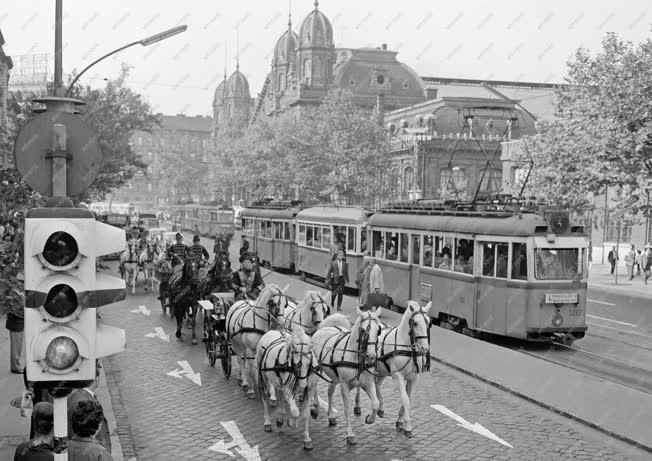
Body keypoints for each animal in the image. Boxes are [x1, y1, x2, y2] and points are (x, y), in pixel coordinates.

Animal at [310, 308, 382, 444]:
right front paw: (350, 434)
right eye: (363, 330)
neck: (356, 358)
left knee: (330, 391)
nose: (371, 356)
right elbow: (347, 409)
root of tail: (324, 328)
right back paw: (315, 407)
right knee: (314, 387)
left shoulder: (367, 384)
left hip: (334, 377)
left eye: (378, 331)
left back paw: (331, 416)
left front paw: (369, 419)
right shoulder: (344, 385)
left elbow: (376, 404)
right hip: (316, 370)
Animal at [354, 300, 430, 436]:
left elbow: (408, 398)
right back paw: (358, 406)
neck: (406, 347)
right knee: (362, 385)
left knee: (376, 384)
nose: (425, 348)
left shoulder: (413, 378)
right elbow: (405, 399)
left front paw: (400, 421)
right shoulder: (397, 376)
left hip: (382, 371)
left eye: (429, 323)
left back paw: (380, 408)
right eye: (415, 323)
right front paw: (408, 427)